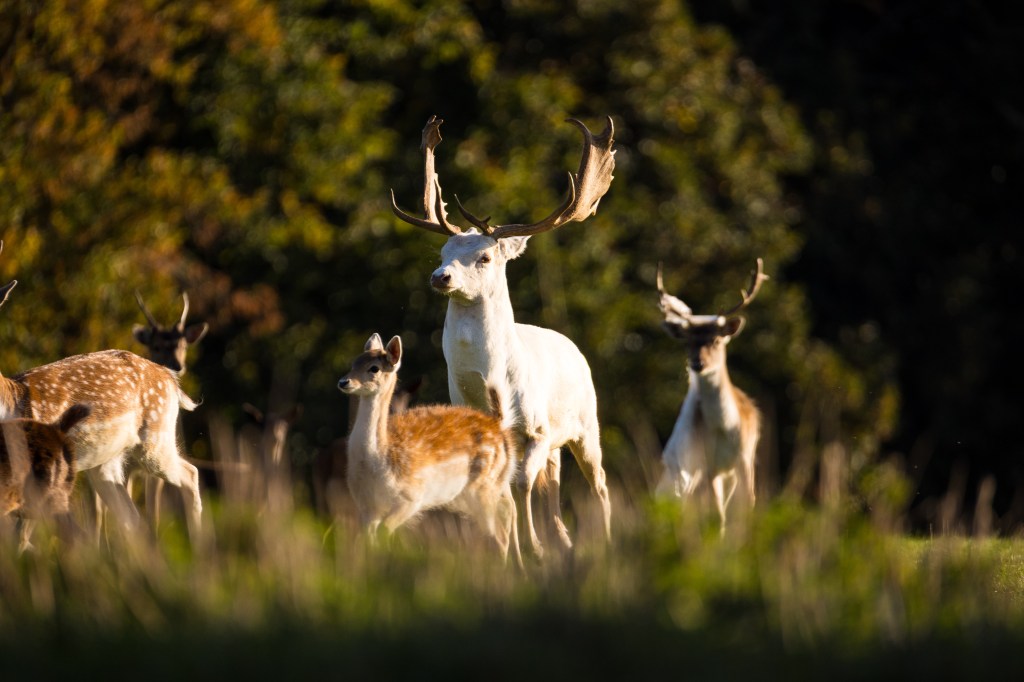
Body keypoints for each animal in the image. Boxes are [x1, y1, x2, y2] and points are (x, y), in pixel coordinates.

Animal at [338, 333, 522, 567]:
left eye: (374, 368)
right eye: (354, 362)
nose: (344, 381)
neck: (378, 463)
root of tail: (498, 424)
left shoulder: (411, 496)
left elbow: (384, 532)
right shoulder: (366, 506)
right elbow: (366, 540)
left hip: (482, 487)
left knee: (499, 534)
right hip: (487, 487)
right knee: (509, 514)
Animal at [390, 115, 614, 557]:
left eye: (485, 257)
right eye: (442, 253)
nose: (440, 277)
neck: (491, 385)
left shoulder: (536, 431)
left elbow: (521, 484)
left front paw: (533, 548)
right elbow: (499, 493)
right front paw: (508, 551)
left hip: (585, 423)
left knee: (598, 484)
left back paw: (601, 541)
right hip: (558, 445)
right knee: (553, 489)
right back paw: (561, 541)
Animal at [655, 258, 768, 535]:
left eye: (716, 340)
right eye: (686, 343)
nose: (697, 363)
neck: (724, 428)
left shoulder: (745, 458)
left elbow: (748, 506)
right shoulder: (708, 465)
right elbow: (717, 516)